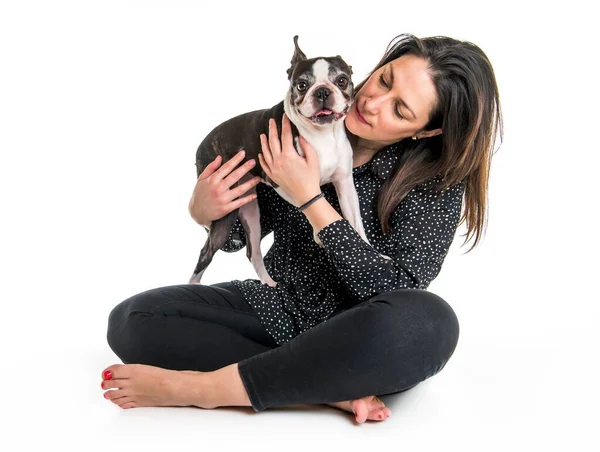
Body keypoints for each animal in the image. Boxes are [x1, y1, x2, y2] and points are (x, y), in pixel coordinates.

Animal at [191, 37, 370, 288]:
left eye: (342, 80)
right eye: (301, 85)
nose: (322, 91)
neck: (322, 135)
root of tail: (202, 145)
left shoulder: (344, 183)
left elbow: (356, 222)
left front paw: (375, 254)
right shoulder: (282, 181)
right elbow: (310, 203)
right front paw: (318, 233)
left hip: (249, 207)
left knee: (253, 251)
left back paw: (269, 282)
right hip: (226, 207)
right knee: (206, 252)